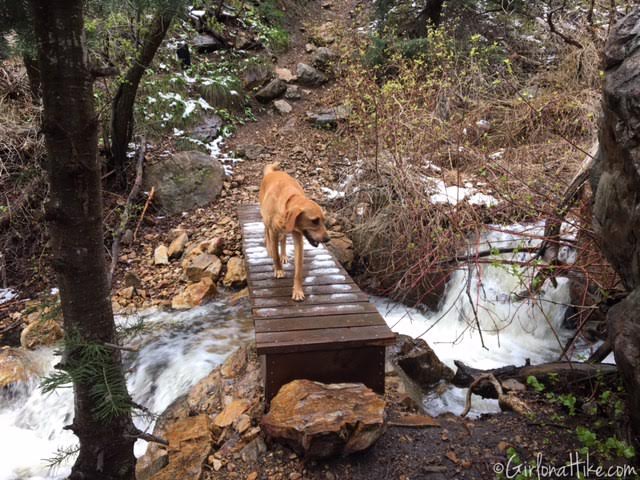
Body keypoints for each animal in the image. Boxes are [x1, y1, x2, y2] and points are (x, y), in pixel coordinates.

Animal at [260, 163, 330, 302]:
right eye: (314, 221)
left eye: (324, 220)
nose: (327, 239)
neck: (287, 202)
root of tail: (271, 172)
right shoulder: (274, 232)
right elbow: (275, 254)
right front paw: (279, 270)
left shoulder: (298, 237)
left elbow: (298, 270)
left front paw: (297, 291)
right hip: (266, 221)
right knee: (267, 235)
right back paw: (270, 249)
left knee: (283, 240)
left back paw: (284, 255)